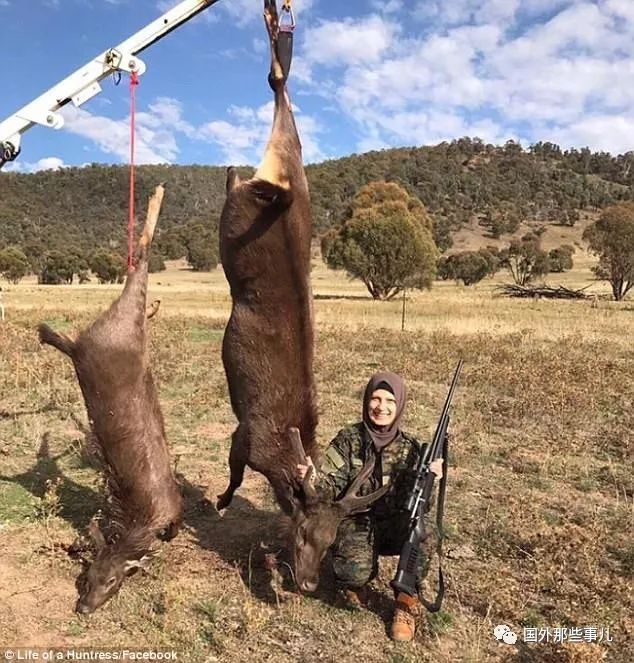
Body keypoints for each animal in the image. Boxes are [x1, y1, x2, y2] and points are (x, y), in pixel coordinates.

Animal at [37, 184, 181, 616]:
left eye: (112, 580)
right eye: (87, 578)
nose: (83, 607)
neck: (140, 520)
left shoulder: (175, 505)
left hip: (100, 341)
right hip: (111, 334)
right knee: (141, 261)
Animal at [215, 0, 388, 592]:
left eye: (336, 539)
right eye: (307, 533)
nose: (309, 582)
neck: (284, 459)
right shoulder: (248, 435)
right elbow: (233, 473)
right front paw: (220, 501)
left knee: (278, 96)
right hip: (260, 198)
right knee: (275, 95)